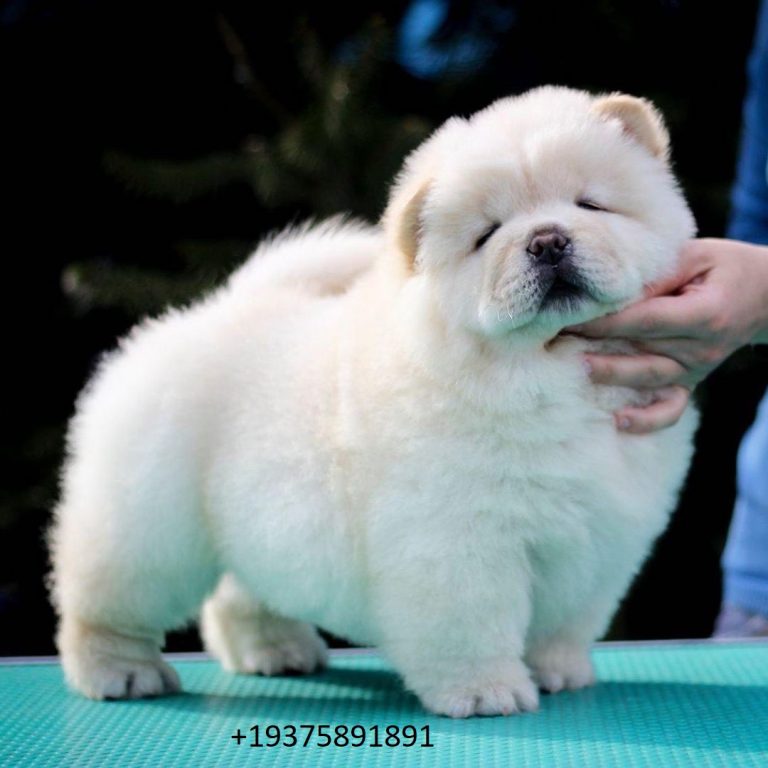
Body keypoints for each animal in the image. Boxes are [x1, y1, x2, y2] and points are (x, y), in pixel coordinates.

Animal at [46, 87, 696, 716]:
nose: (547, 241)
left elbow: (566, 620)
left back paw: (277, 650)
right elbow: (472, 624)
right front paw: (486, 694)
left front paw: (560, 671)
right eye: (487, 235)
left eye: (591, 205)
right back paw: (122, 672)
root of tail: (211, 310)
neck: (549, 370)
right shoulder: (460, 537)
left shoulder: (601, 535)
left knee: (238, 598)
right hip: (147, 523)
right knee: (106, 601)